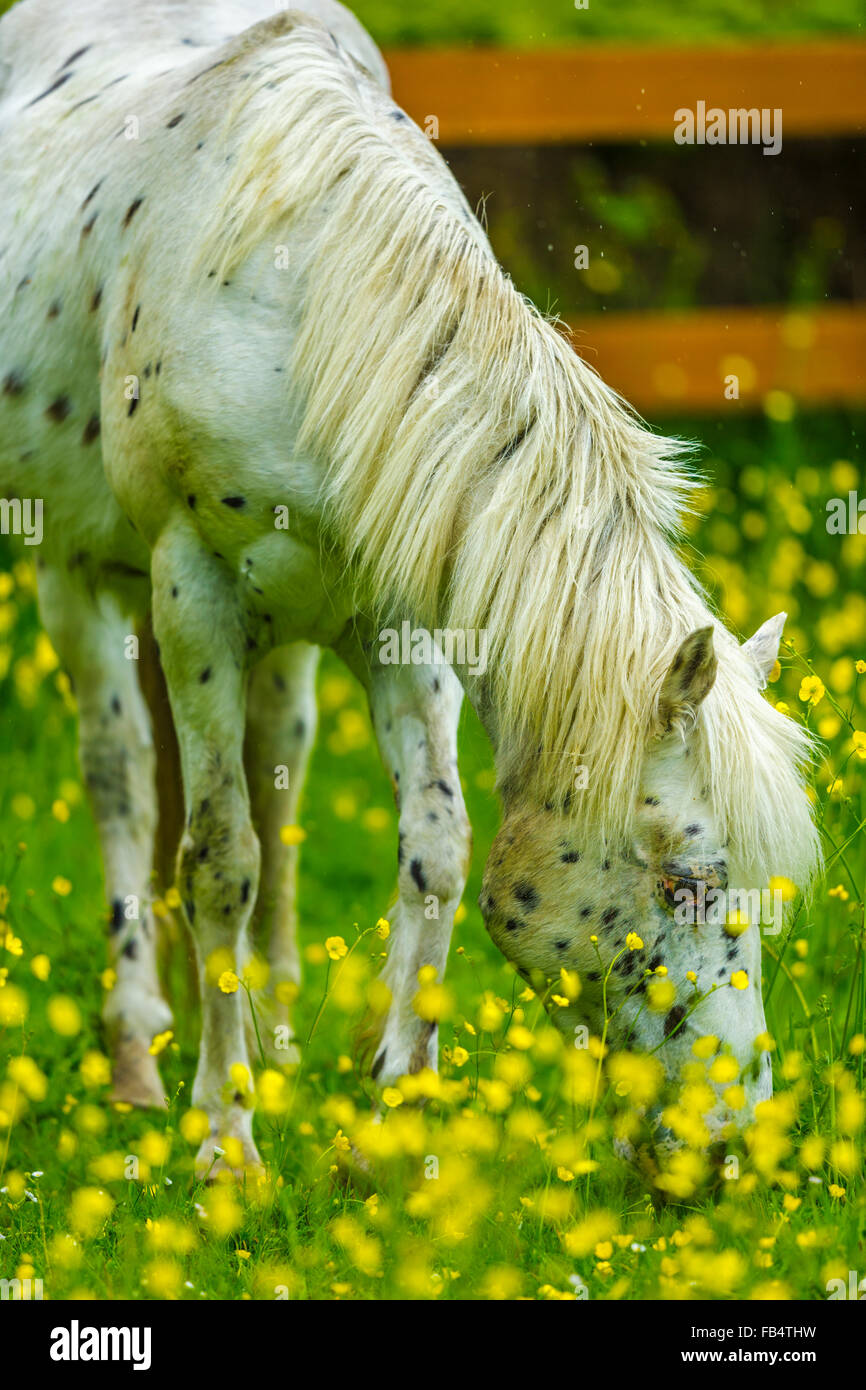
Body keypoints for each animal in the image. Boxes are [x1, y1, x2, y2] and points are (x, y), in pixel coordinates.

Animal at [0, 0, 820, 1177]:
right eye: (686, 884)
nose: (723, 1151)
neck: (302, 310)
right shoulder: (191, 593)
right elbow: (219, 857)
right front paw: (226, 1144)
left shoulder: (402, 621)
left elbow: (433, 849)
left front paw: (399, 1111)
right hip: (76, 578)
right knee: (122, 782)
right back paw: (139, 1059)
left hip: (281, 648)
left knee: (279, 765)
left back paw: (273, 1034)